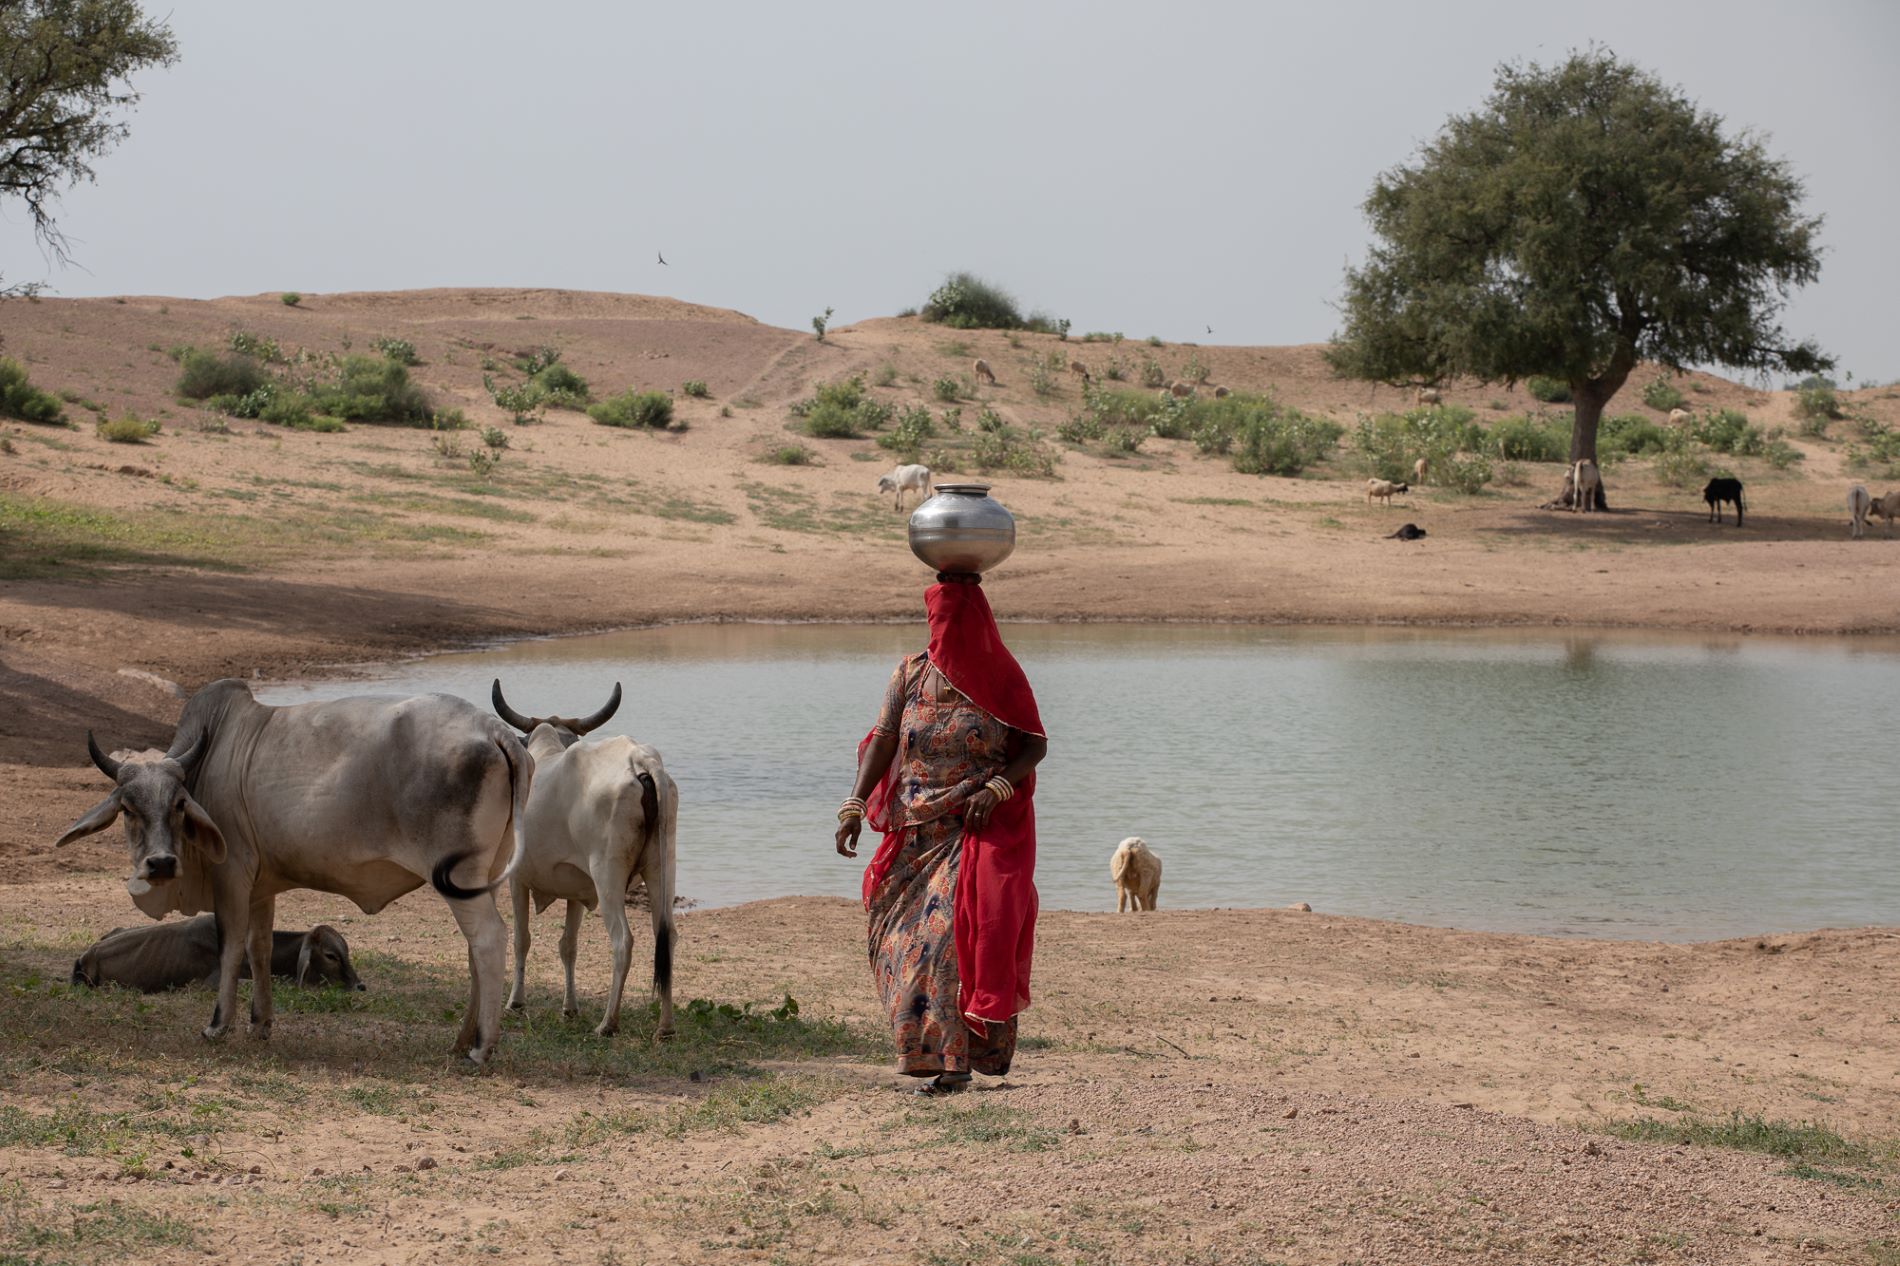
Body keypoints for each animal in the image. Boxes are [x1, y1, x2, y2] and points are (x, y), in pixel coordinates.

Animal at [494, 680, 680, 1034]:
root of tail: (641, 761)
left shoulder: (517, 879)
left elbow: (521, 939)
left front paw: (515, 1002)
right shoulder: (576, 891)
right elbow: (568, 945)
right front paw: (570, 1007)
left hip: (608, 874)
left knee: (623, 941)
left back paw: (608, 1023)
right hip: (662, 868)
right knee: (666, 936)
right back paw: (664, 1026)